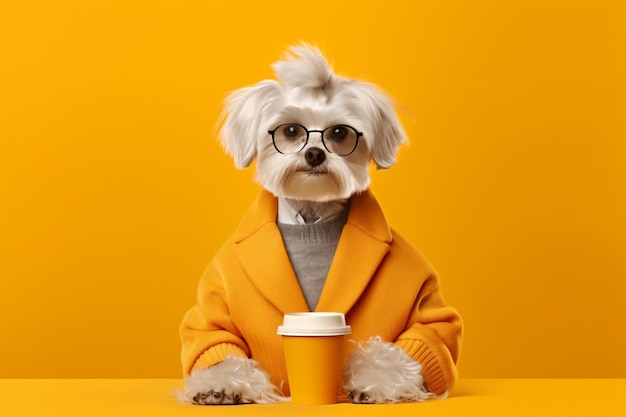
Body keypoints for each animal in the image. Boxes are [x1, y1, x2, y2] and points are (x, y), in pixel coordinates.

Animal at [178, 44, 460, 404]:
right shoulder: (215, 316)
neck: (311, 219)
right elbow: (221, 348)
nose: (314, 153)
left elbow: (406, 345)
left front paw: (375, 380)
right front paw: (222, 383)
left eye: (339, 133)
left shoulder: (428, 316)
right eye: (291, 131)